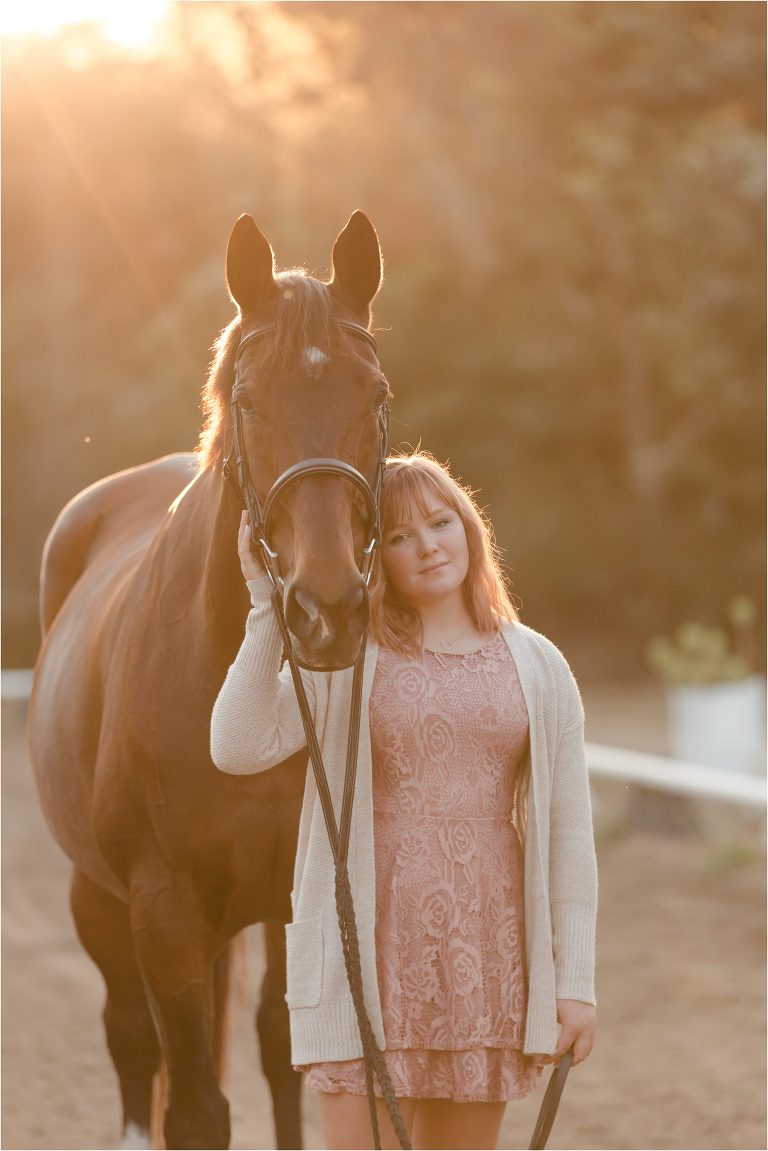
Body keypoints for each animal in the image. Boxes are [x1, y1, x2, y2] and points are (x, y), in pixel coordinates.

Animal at [28, 210, 389, 1150]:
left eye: (376, 397)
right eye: (250, 400)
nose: (327, 611)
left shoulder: (310, 899)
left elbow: (294, 1062)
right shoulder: (164, 914)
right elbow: (193, 1106)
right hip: (97, 899)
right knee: (129, 1040)